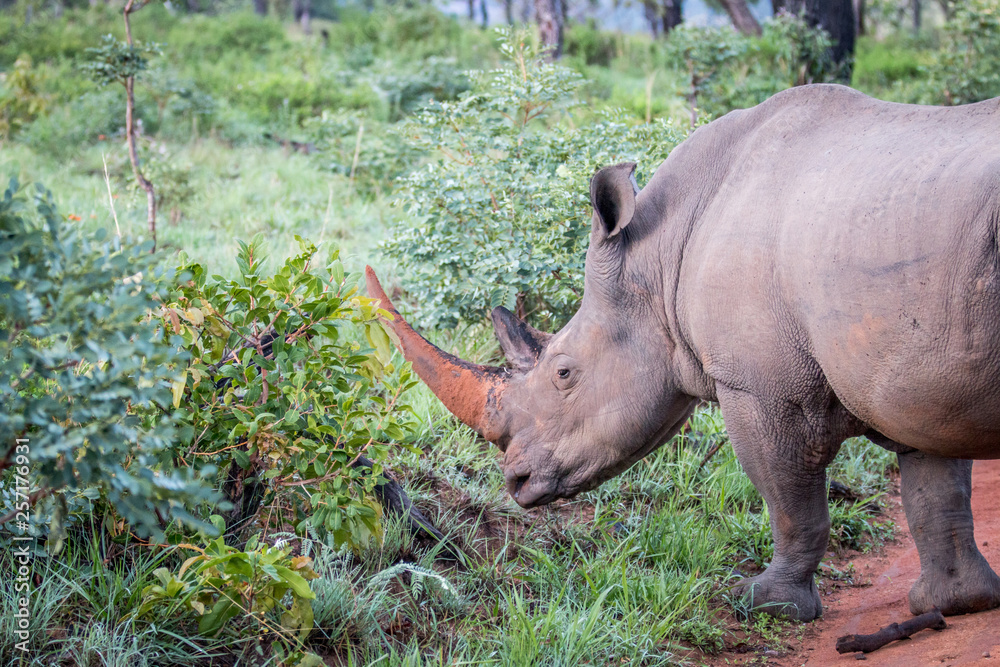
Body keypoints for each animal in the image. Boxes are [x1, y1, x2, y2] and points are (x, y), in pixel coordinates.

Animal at [365, 83, 1000, 621]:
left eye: (564, 373)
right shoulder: (913, 379)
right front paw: (954, 602)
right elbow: (935, 492)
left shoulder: (763, 388)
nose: (515, 481)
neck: (659, 257)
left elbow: (791, 501)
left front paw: (763, 603)